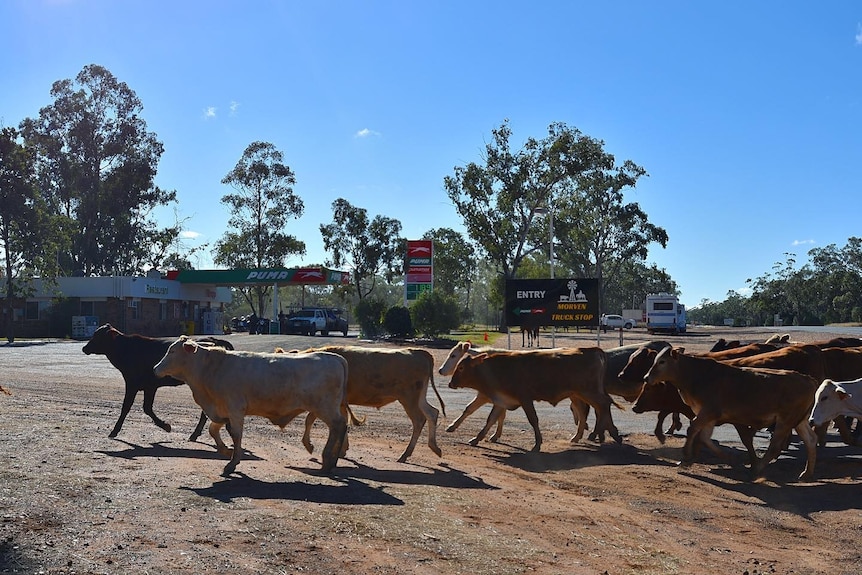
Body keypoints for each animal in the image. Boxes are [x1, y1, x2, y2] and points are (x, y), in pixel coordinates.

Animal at [81, 324, 233, 440]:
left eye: (98, 336)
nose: (84, 348)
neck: (126, 349)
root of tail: (213, 339)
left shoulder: (132, 384)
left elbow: (127, 407)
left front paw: (114, 430)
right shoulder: (149, 387)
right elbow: (147, 408)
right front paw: (165, 425)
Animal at [154, 336, 350, 474]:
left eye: (172, 352)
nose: (155, 368)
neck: (212, 369)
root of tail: (335, 358)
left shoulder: (235, 410)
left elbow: (236, 435)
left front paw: (232, 462)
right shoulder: (222, 411)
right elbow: (213, 430)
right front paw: (226, 451)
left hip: (325, 408)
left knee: (339, 425)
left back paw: (328, 459)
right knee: (341, 426)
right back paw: (332, 460)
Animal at [446, 348, 620, 452]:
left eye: (461, 367)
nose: (450, 383)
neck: (497, 369)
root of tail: (593, 350)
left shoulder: (525, 399)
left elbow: (533, 419)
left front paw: (537, 444)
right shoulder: (501, 400)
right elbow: (491, 419)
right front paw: (477, 438)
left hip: (588, 392)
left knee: (603, 405)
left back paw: (605, 433)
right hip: (581, 394)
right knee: (600, 408)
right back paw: (605, 433)